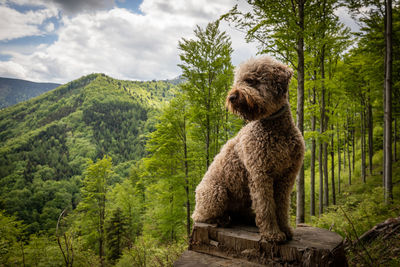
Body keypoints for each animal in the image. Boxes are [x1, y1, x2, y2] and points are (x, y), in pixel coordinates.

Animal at [192, 56, 304, 243]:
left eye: (251, 80)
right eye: (237, 81)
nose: (231, 96)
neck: (276, 129)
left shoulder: (286, 177)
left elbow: (281, 206)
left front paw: (285, 229)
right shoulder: (260, 175)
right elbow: (266, 207)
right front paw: (272, 234)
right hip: (216, 192)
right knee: (201, 217)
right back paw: (221, 219)